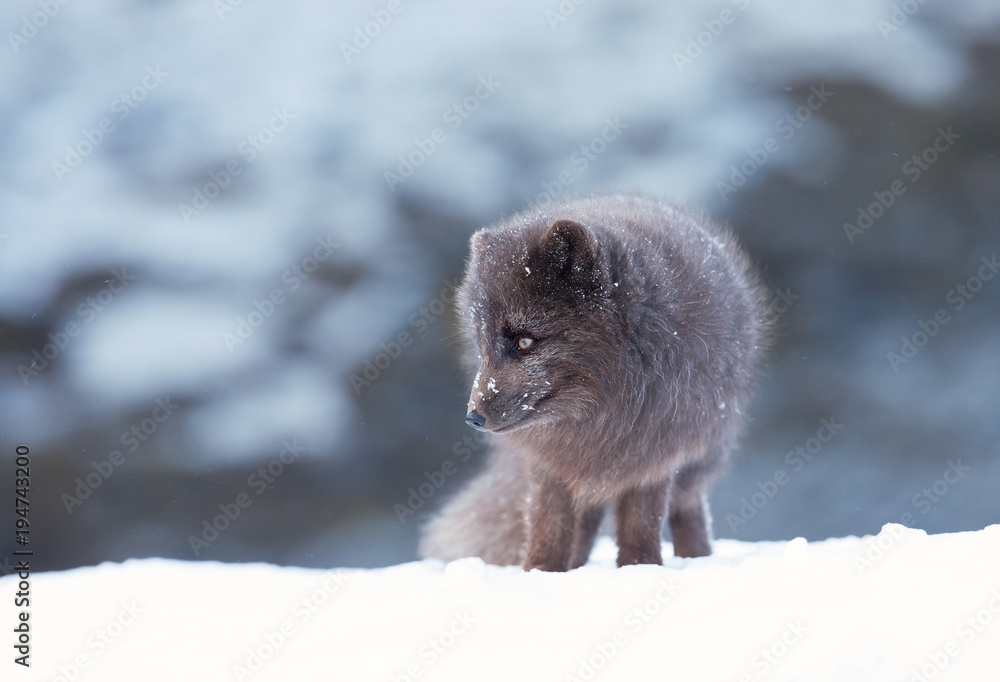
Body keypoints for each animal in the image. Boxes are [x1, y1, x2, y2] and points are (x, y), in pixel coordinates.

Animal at [419, 193, 770, 571]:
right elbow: (548, 526)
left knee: (686, 507)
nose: (473, 418)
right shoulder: (551, 464)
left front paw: (639, 570)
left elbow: (641, 526)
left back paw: (697, 558)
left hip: (697, 458)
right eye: (481, 344)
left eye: (524, 342)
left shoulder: (655, 453)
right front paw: (540, 573)